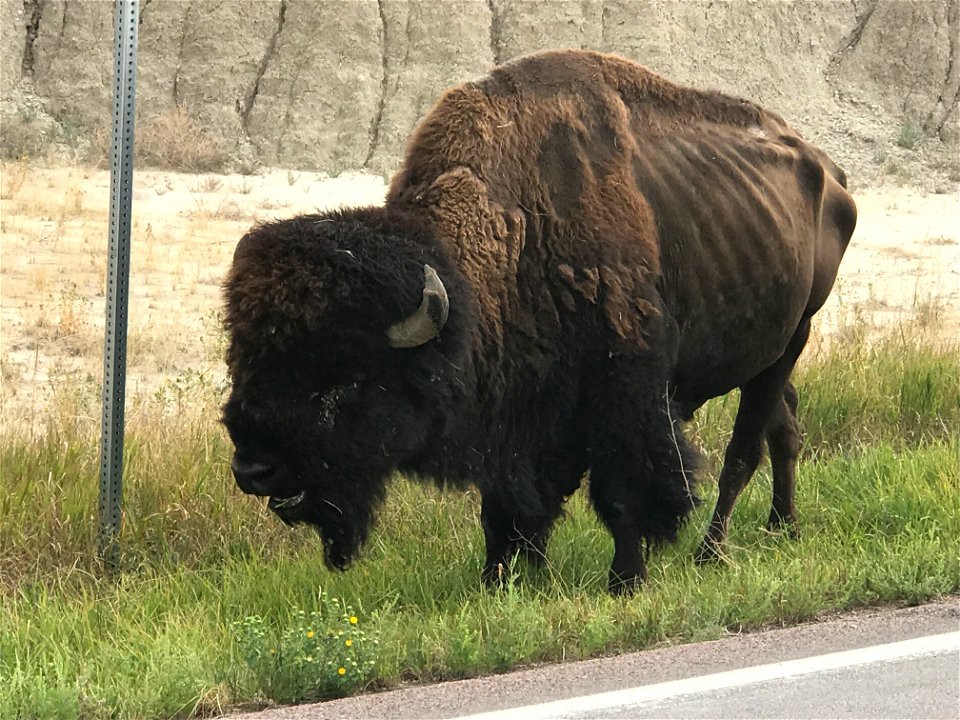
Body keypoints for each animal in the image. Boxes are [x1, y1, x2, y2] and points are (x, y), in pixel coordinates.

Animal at [223, 49, 856, 592]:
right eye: (243, 359)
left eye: (346, 379)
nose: (254, 468)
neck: (518, 229)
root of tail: (830, 173)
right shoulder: (517, 412)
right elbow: (507, 507)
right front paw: (500, 582)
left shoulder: (622, 394)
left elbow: (620, 493)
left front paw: (625, 582)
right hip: (766, 353)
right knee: (784, 428)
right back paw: (783, 529)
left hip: (792, 339)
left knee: (742, 452)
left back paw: (711, 552)